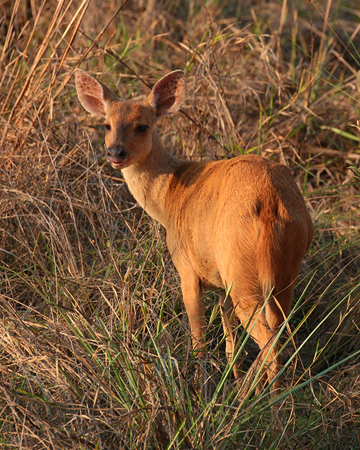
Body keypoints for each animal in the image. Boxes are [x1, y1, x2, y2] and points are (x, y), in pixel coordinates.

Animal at [75, 67, 312, 398]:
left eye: (142, 126)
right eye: (106, 125)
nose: (115, 153)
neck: (168, 197)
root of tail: (270, 204)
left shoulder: (187, 267)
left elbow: (199, 339)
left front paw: (202, 387)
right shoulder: (220, 282)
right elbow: (229, 339)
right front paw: (231, 377)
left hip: (241, 269)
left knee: (268, 340)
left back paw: (265, 401)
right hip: (285, 269)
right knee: (279, 331)